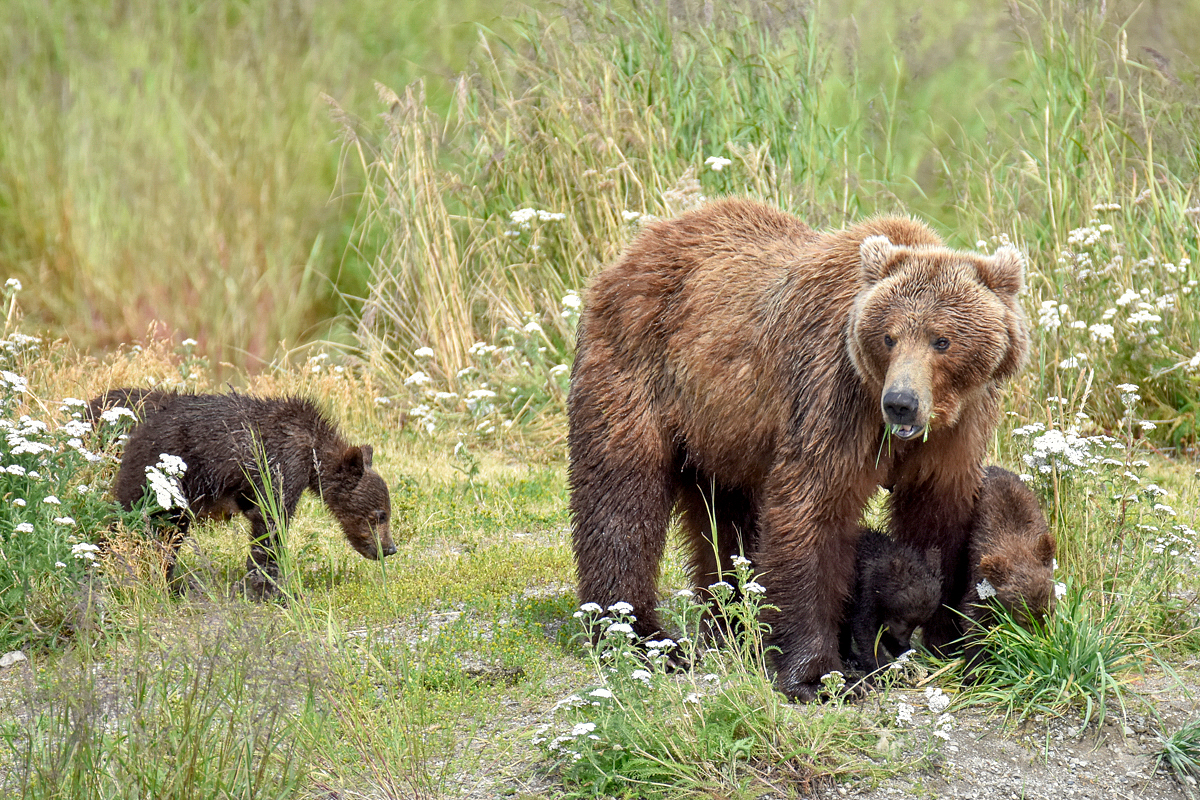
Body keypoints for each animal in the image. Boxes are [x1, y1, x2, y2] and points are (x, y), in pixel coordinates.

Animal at [106, 391, 396, 597]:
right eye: (380, 514)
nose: (390, 548)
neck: (313, 452)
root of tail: (136, 434)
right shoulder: (283, 462)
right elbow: (271, 520)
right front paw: (270, 588)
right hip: (160, 479)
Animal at [840, 527, 940, 671]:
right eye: (904, 619)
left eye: (917, 624)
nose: (903, 642)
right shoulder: (865, 592)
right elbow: (865, 628)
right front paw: (879, 668)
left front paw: (906, 657)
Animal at [955, 465, 1051, 681]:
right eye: (1024, 619)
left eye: (1049, 612)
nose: (1040, 643)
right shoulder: (980, 578)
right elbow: (973, 618)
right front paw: (974, 671)